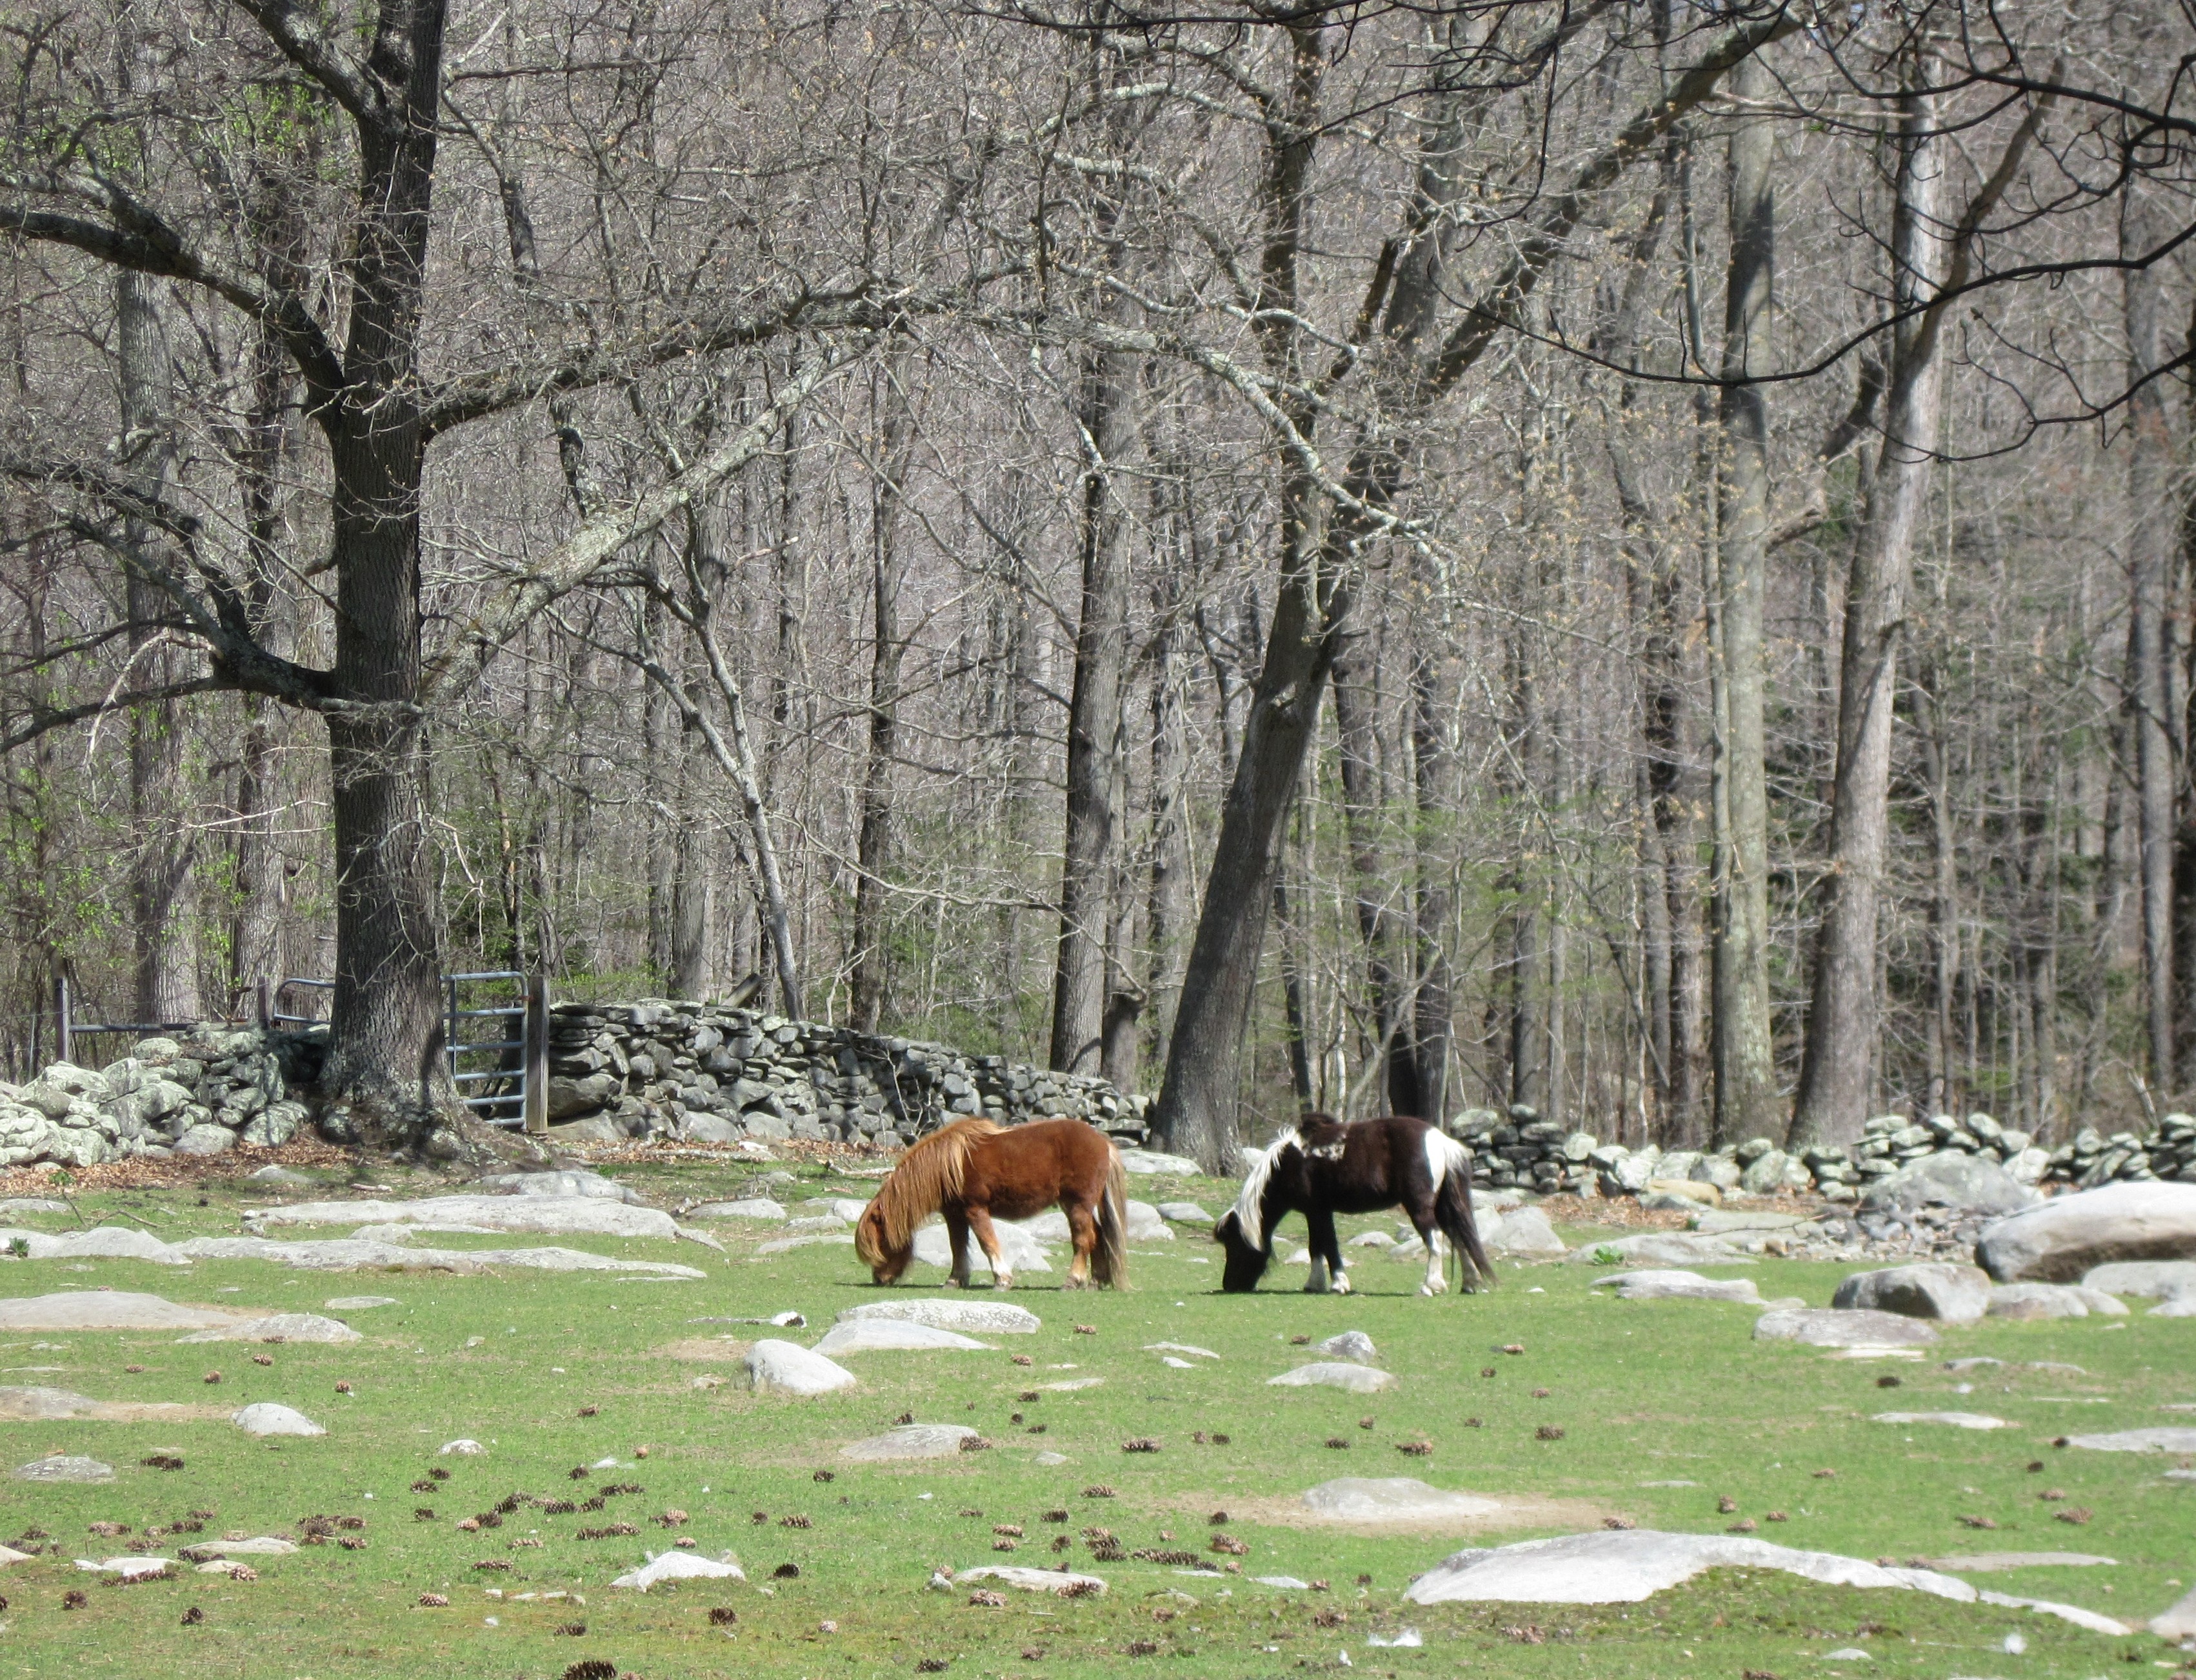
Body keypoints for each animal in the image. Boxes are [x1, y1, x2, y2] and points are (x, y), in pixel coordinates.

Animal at [856, 1120, 1133, 1291]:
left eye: (881, 1243)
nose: (879, 1279)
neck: (950, 1164)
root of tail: (1103, 1142)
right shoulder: (955, 1215)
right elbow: (957, 1247)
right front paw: (955, 1280)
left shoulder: (975, 1209)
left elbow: (987, 1243)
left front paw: (1002, 1280)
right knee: (1098, 1235)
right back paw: (1096, 1281)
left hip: (1077, 1206)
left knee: (1083, 1240)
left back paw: (1073, 1281)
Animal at [1212, 1115, 1502, 1300]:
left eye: (1233, 1246)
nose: (1229, 1285)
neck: (1290, 1163)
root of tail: (1441, 1141)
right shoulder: (1316, 1212)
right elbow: (1316, 1246)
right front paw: (1315, 1284)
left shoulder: (1318, 1211)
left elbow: (1327, 1245)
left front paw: (1338, 1284)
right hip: (1443, 1205)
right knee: (1459, 1236)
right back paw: (1470, 1283)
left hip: (1419, 1207)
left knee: (1435, 1238)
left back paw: (1431, 1286)